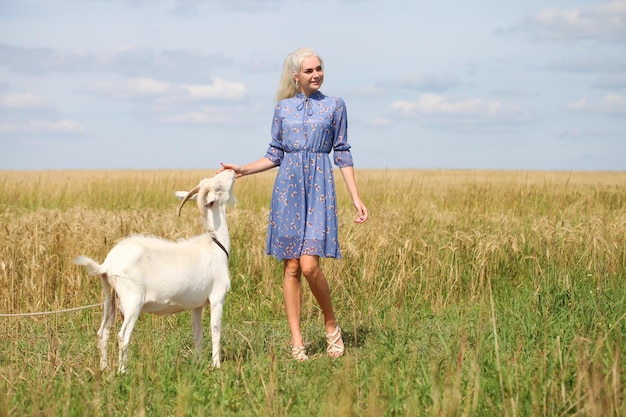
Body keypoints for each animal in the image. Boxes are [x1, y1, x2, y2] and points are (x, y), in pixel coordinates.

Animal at [72, 169, 236, 370]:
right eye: (218, 186)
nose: (231, 170)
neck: (216, 245)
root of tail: (108, 263)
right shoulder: (217, 298)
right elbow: (215, 331)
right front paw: (216, 365)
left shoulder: (196, 305)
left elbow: (198, 334)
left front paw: (197, 363)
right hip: (133, 301)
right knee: (122, 336)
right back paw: (122, 371)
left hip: (109, 298)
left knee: (103, 332)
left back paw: (104, 368)